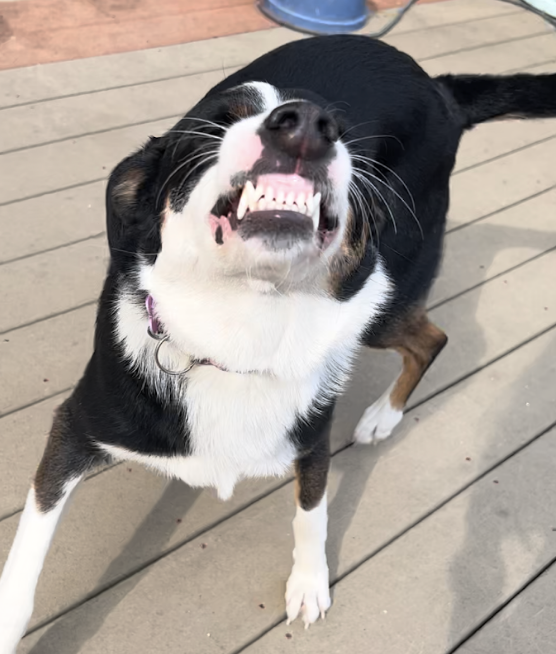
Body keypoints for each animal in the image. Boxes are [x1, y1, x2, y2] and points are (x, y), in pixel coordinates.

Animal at [1, 34, 556, 652]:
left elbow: (312, 512)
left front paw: (309, 583)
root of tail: (438, 87)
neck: (245, 331)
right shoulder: (75, 429)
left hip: (380, 294)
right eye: (215, 124)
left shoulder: (311, 437)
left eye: (341, 129)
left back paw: (381, 418)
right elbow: (27, 558)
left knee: (433, 337)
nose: (307, 125)